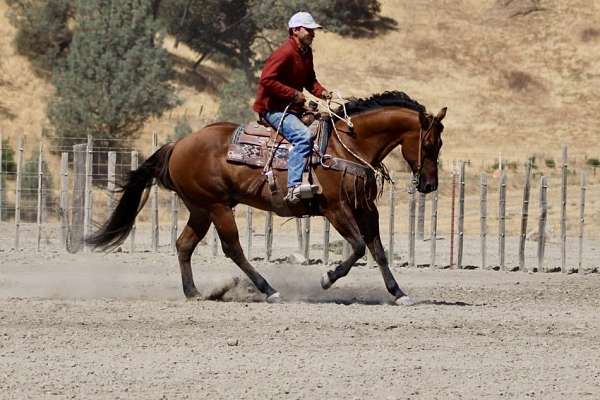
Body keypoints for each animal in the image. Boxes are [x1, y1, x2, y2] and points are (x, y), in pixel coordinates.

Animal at [88, 90, 446, 304]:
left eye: (439, 144)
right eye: (429, 144)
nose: (429, 185)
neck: (348, 146)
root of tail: (179, 144)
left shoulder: (366, 208)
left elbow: (378, 251)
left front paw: (399, 293)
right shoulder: (336, 209)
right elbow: (358, 247)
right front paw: (327, 278)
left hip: (200, 209)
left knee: (184, 245)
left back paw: (194, 292)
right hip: (217, 207)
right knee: (233, 248)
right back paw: (269, 290)